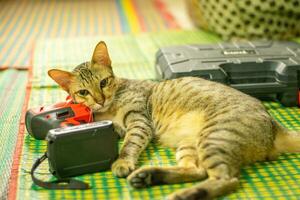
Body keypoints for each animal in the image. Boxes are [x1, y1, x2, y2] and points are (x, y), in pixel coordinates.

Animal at [47, 41, 300, 199]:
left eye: (103, 82)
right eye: (83, 92)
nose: (100, 100)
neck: (110, 109)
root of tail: (275, 125)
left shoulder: (139, 121)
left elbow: (129, 145)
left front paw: (122, 162)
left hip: (215, 137)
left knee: (226, 179)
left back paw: (182, 194)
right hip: (191, 145)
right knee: (197, 171)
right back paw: (149, 177)